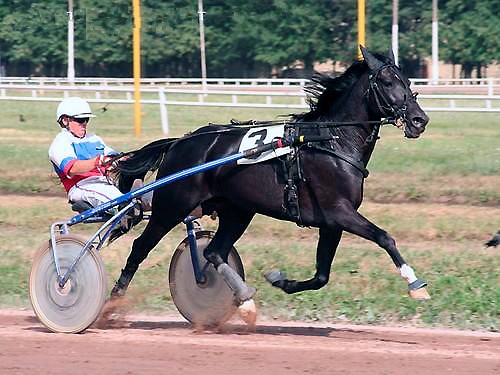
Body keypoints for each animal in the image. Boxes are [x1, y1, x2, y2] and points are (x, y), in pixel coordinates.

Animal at [112, 47, 430, 308]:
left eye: (408, 82)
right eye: (388, 82)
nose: (419, 120)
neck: (331, 141)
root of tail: (180, 142)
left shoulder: (332, 222)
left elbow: (321, 276)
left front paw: (280, 279)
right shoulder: (339, 211)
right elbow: (384, 237)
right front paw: (415, 283)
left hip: (237, 210)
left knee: (214, 252)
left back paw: (244, 297)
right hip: (172, 206)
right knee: (141, 246)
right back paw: (114, 298)